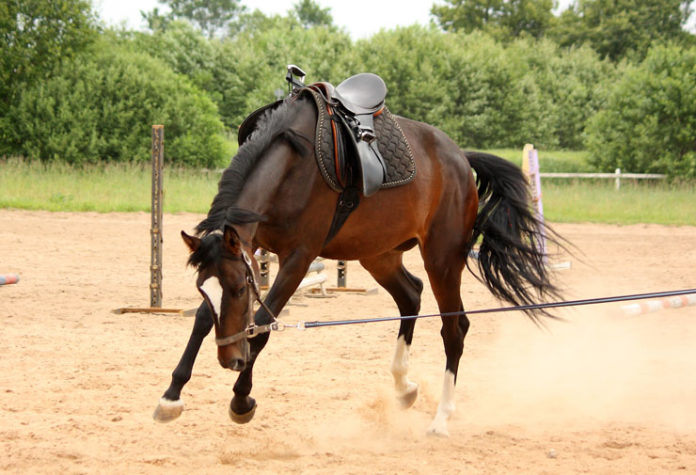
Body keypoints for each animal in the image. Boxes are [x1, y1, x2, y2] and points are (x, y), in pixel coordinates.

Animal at [152, 82, 560, 438]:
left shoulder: (298, 258)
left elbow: (263, 325)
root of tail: (460, 159)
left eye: (239, 290)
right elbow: (203, 319)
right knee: (411, 296)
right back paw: (404, 387)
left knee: (454, 327)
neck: (292, 159)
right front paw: (171, 396)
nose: (229, 359)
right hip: (379, 254)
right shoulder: (249, 249)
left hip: (442, 258)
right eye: (204, 289)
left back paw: (442, 417)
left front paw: (241, 400)